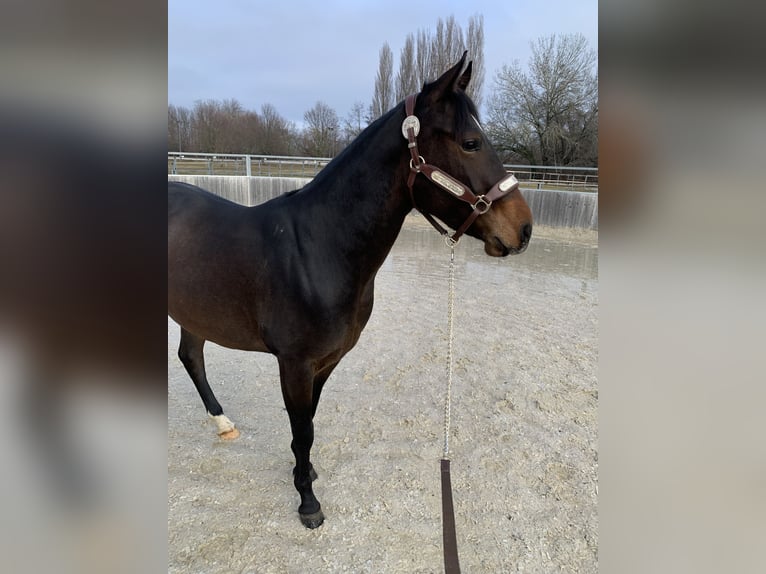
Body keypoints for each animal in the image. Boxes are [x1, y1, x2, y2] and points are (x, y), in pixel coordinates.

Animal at [168, 53, 533, 529]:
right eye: (471, 143)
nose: (524, 229)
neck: (318, 249)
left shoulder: (326, 362)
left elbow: (307, 426)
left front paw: (305, 474)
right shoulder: (295, 364)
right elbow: (302, 429)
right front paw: (308, 503)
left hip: (194, 310)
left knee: (191, 357)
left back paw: (223, 422)